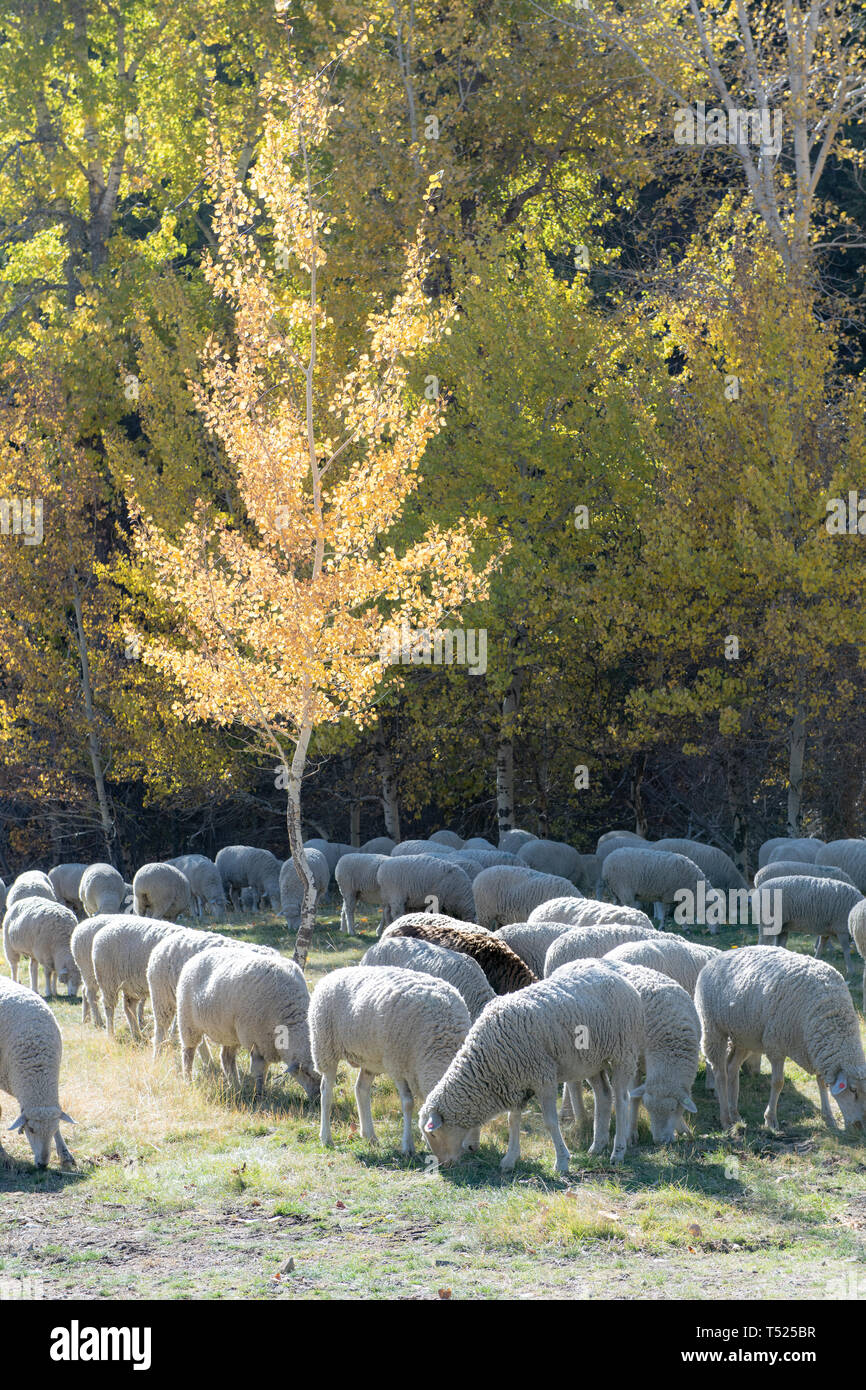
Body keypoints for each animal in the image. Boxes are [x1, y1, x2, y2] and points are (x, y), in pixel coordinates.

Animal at [176, 947, 320, 1099]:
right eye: (306, 1073)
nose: (317, 1098)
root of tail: (196, 956)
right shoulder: (257, 1042)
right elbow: (259, 1071)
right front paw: (260, 1094)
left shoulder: (266, 1044)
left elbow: (263, 1070)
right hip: (188, 1021)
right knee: (188, 1052)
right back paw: (188, 1080)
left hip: (230, 1033)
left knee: (226, 1058)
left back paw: (235, 1085)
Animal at [310, 965, 471, 1154]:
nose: (470, 1149)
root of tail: (333, 973)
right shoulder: (398, 1065)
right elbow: (408, 1104)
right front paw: (408, 1146)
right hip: (325, 1047)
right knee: (326, 1091)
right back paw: (326, 1138)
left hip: (369, 1058)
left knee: (361, 1089)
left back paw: (370, 1136)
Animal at [420, 959, 643, 1173]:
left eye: (433, 1135)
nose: (444, 1165)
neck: (488, 1062)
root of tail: (623, 980)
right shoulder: (515, 1081)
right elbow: (512, 1120)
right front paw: (510, 1159)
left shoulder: (543, 1077)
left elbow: (550, 1122)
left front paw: (562, 1162)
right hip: (591, 1060)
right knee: (603, 1095)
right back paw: (597, 1146)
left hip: (623, 1052)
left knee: (622, 1099)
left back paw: (618, 1152)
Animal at [598, 960, 700, 1143]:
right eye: (648, 1108)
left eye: (673, 1109)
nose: (660, 1141)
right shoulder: (635, 1063)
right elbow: (634, 1098)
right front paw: (630, 1133)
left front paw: (683, 1129)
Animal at [695, 945, 866, 1133]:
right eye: (853, 1090)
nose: (860, 1127)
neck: (831, 1014)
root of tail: (718, 956)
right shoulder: (775, 1045)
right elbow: (778, 1082)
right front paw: (770, 1120)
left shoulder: (815, 1048)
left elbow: (821, 1082)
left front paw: (828, 1117)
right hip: (713, 1029)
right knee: (720, 1072)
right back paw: (726, 1119)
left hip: (744, 1036)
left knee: (732, 1068)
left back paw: (735, 1114)